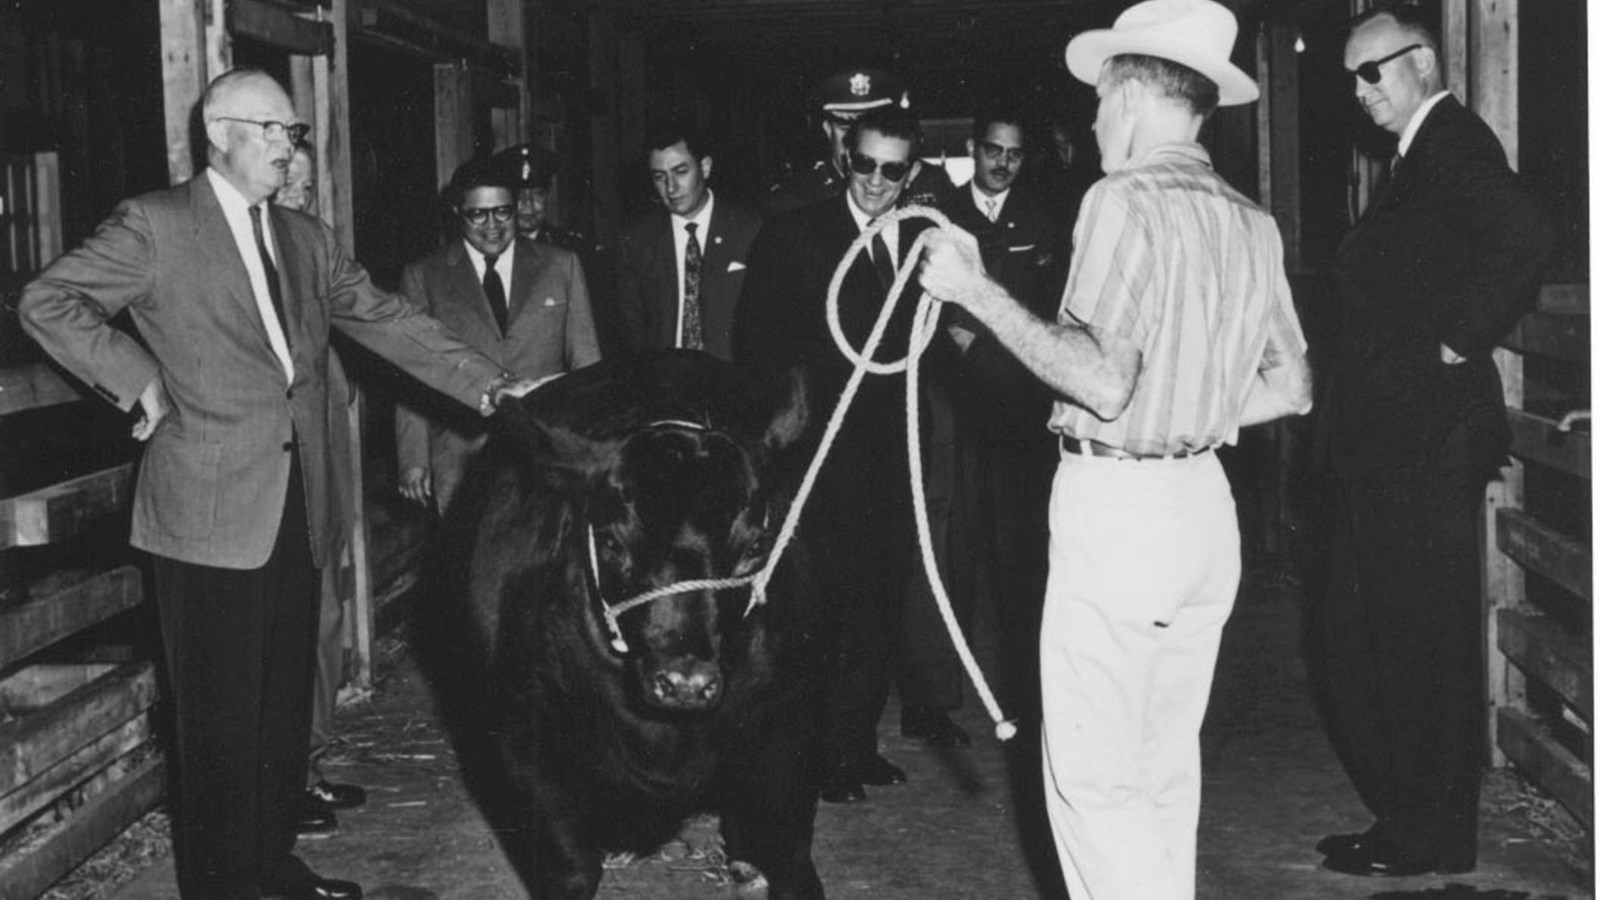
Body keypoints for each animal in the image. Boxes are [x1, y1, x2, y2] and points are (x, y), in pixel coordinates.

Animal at [425, 350, 825, 896]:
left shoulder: (789, 724)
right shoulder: (523, 741)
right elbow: (572, 867)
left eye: (755, 547)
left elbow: (790, 854)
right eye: (613, 541)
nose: (685, 681)